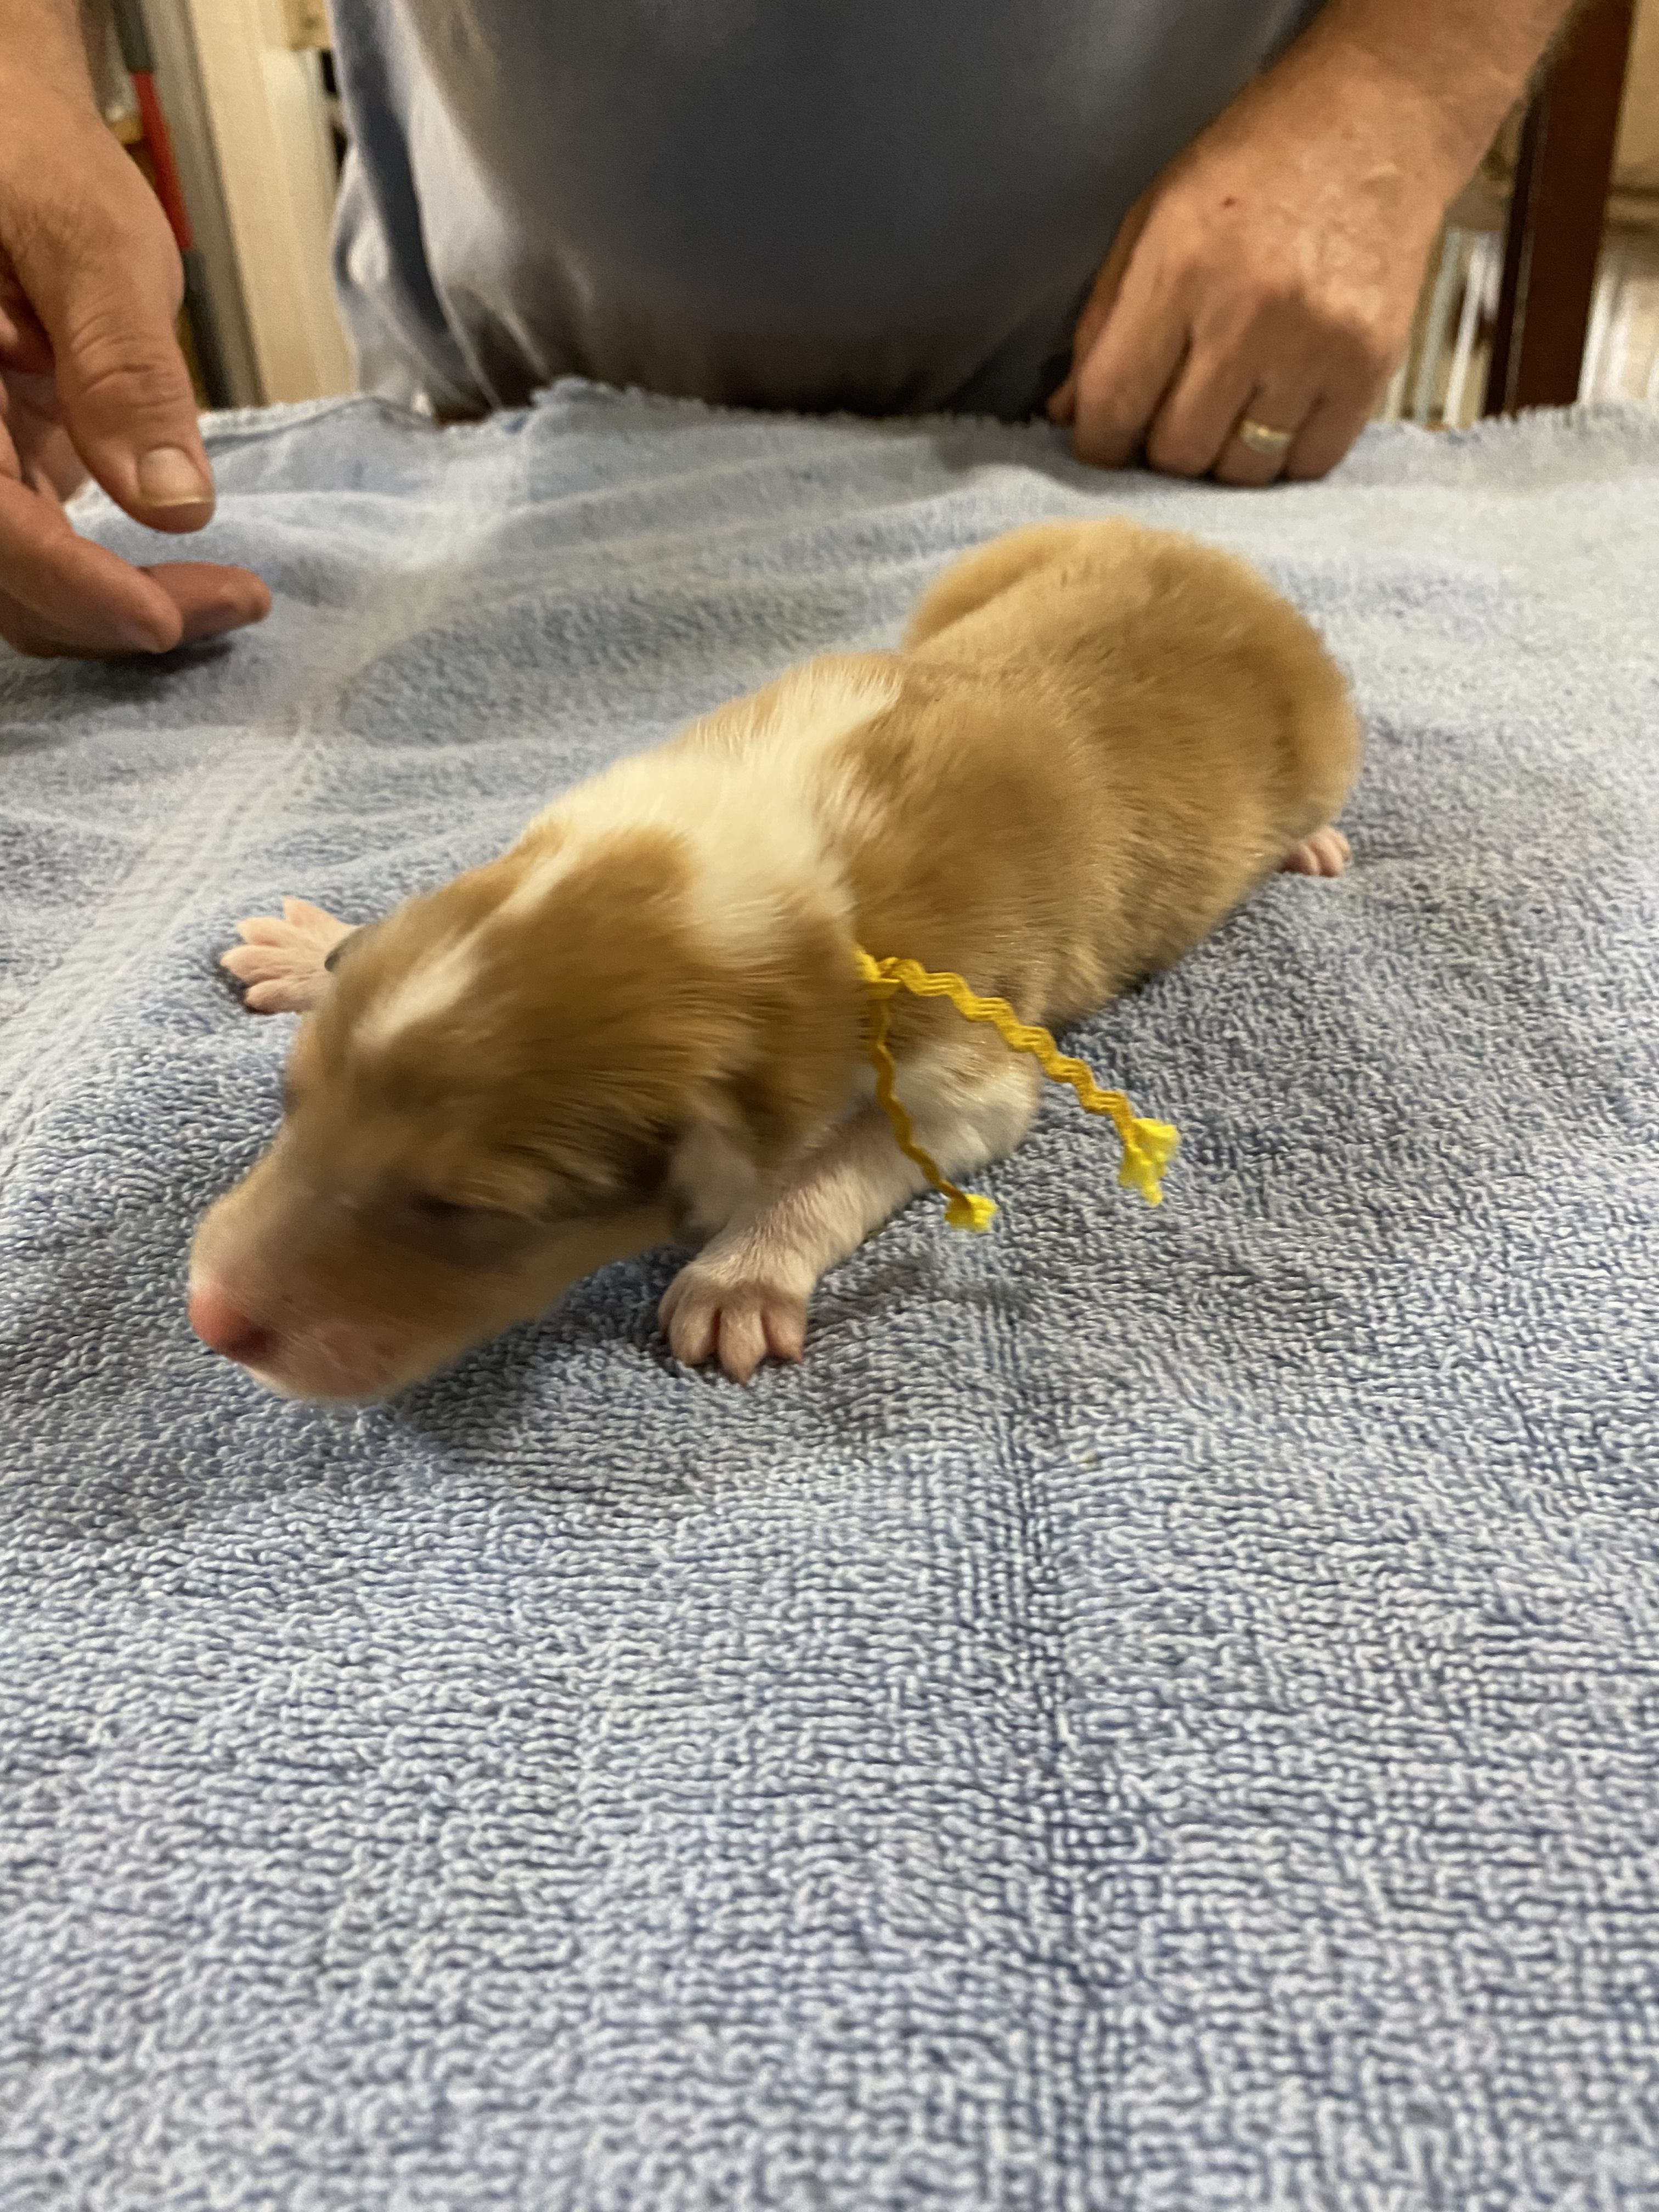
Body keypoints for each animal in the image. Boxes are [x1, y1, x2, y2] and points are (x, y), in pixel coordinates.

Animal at [188, 518, 1359, 1400]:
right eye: (290, 1100)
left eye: (466, 1212)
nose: (207, 1315)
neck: (730, 859)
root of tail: (1214, 555)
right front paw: (313, 947)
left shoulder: (962, 1052)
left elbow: (846, 1159)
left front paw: (739, 1276)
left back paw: (1309, 843)